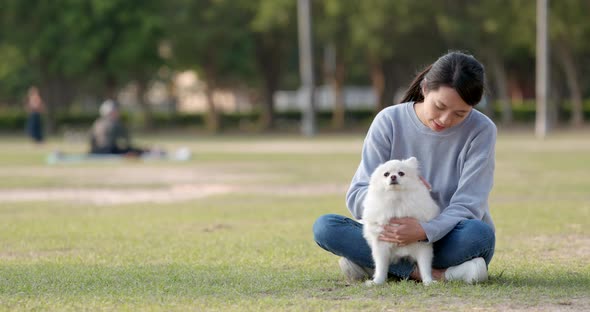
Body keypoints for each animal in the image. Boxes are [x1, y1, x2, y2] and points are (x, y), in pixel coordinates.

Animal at [364, 157, 442, 286]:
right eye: (386, 174)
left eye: (401, 173)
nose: (393, 177)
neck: (396, 198)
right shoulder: (381, 244)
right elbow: (381, 266)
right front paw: (377, 281)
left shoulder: (423, 246)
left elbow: (425, 266)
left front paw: (428, 281)